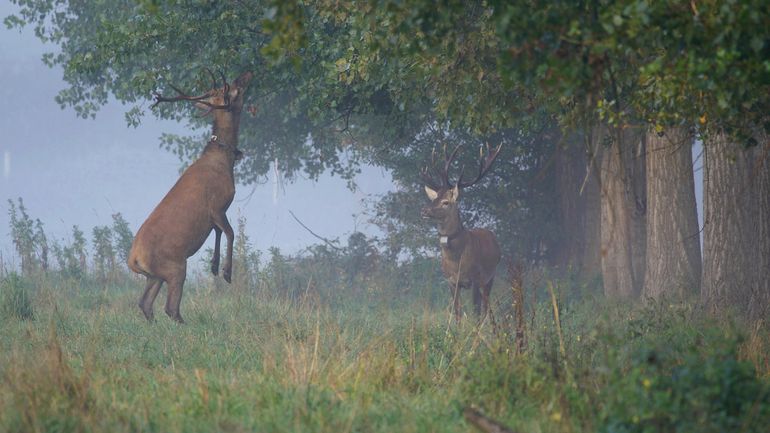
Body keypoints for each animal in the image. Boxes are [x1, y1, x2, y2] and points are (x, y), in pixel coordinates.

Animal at [128, 70, 252, 320]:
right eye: (234, 89)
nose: (247, 74)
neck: (223, 162)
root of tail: (133, 260)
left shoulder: (215, 214)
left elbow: (218, 232)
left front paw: (214, 266)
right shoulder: (217, 204)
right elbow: (231, 232)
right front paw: (226, 272)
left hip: (155, 275)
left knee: (145, 303)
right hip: (175, 267)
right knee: (171, 308)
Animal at [424, 143, 500, 322]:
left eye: (445, 202)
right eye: (434, 199)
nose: (425, 210)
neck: (456, 262)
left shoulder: (475, 278)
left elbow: (475, 312)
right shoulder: (451, 281)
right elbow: (457, 312)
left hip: (490, 276)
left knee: (486, 307)